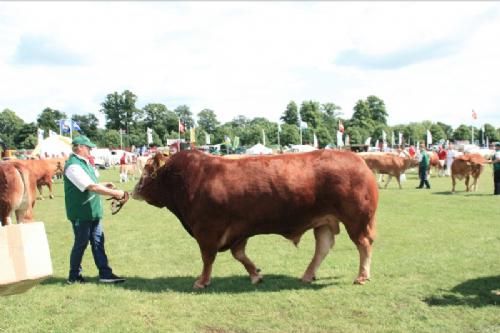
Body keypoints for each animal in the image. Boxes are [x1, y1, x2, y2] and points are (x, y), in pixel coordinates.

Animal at [133, 148, 378, 288]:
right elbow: (239, 255)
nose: (135, 190)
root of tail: (358, 160)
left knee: (363, 244)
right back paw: (308, 275)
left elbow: (207, 258)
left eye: (147, 169)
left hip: (356, 219)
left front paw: (202, 281)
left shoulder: (207, 230)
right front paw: (256, 275)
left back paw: (362, 276)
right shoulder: (239, 230)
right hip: (325, 221)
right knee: (323, 248)